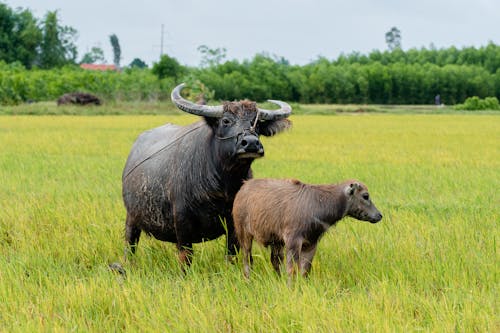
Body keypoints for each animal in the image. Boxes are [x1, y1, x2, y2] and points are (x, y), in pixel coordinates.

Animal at [122, 82, 292, 268]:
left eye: (258, 124)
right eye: (226, 121)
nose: (251, 143)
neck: (223, 185)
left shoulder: (234, 223)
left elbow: (231, 254)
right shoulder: (182, 221)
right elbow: (186, 257)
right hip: (131, 218)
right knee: (130, 244)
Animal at [232, 179, 380, 278]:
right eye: (365, 196)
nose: (379, 215)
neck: (319, 204)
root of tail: (243, 188)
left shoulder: (311, 243)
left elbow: (305, 270)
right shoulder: (293, 241)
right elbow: (292, 269)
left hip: (276, 241)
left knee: (275, 261)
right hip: (244, 234)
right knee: (247, 259)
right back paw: (248, 278)